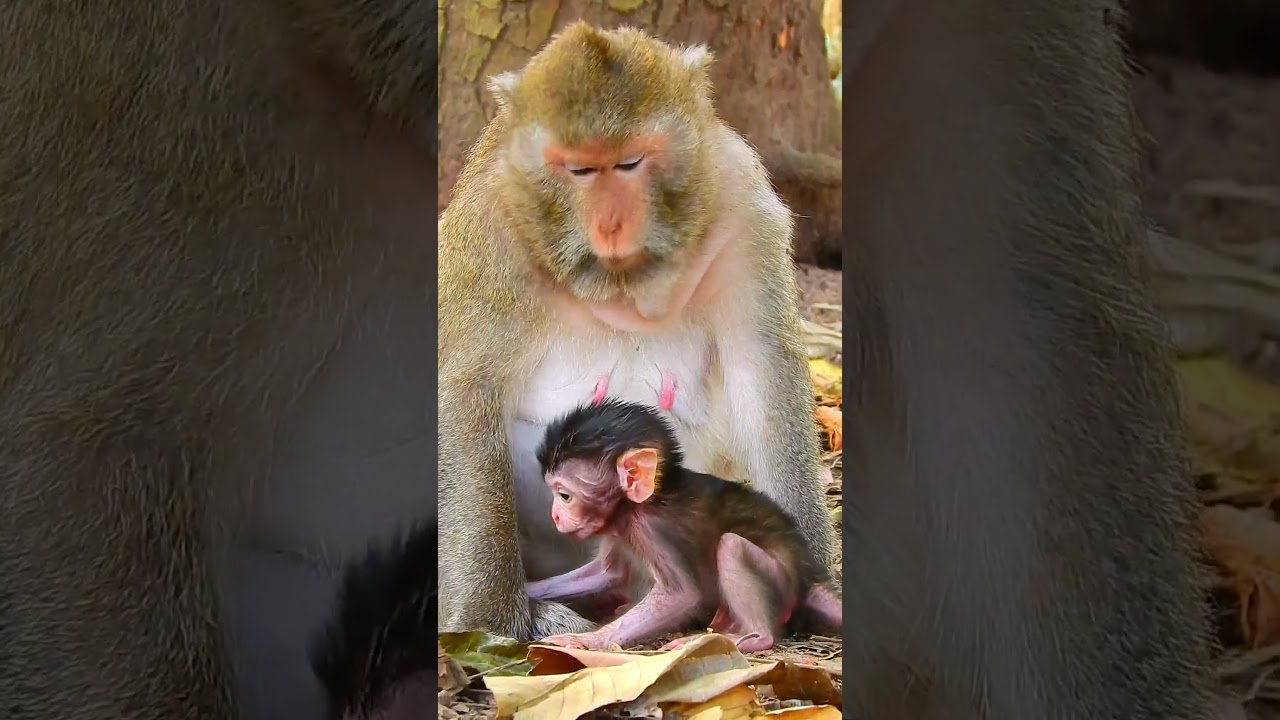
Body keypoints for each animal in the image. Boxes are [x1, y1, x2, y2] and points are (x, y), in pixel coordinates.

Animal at [528, 399, 842, 653]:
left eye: (564, 496)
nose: (556, 515)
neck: (642, 502)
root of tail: (807, 573)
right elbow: (606, 573)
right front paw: (527, 589)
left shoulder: (651, 530)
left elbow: (680, 594)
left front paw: (586, 640)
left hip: (781, 580)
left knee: (731, 546)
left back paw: (755, 637)